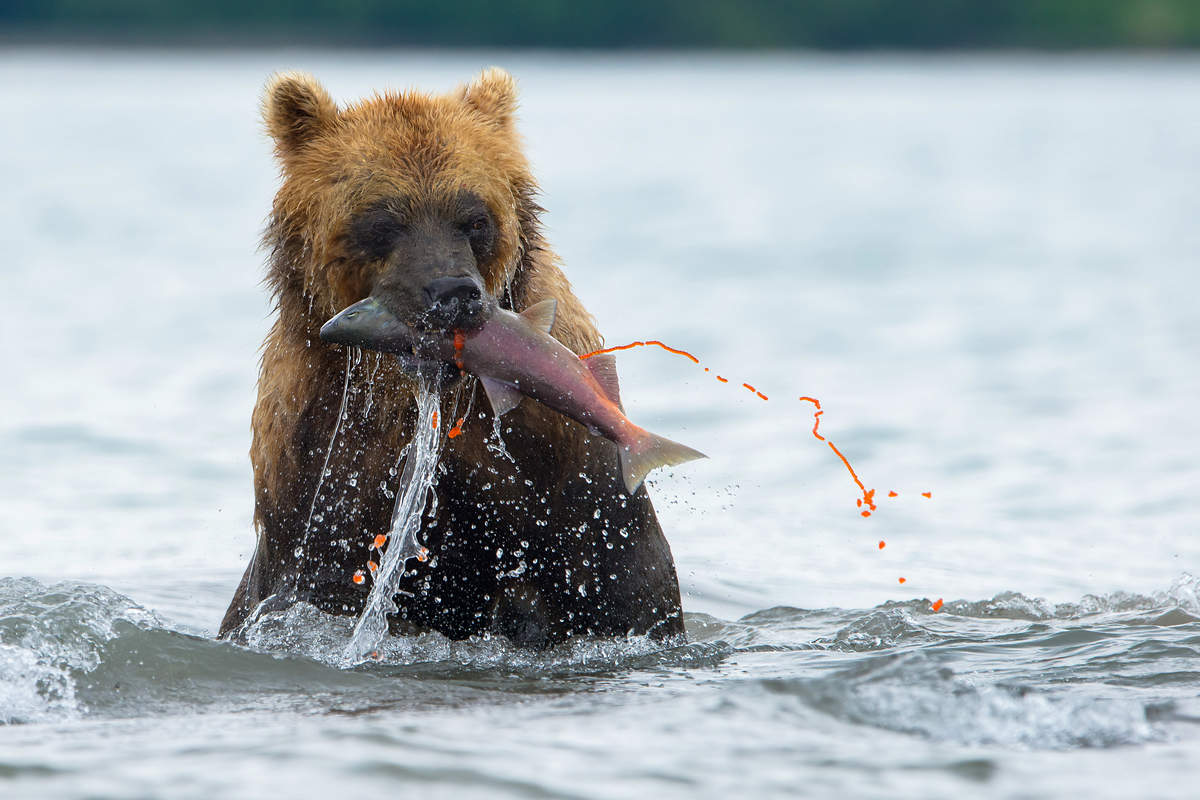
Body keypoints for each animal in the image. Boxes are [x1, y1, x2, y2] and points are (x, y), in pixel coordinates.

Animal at [216, 65, 686, 647]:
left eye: (474, 218)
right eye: (383, 220)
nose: (452, 293)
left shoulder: (565, 478)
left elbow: (613, 586)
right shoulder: (322, 462)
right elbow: (329, 578)